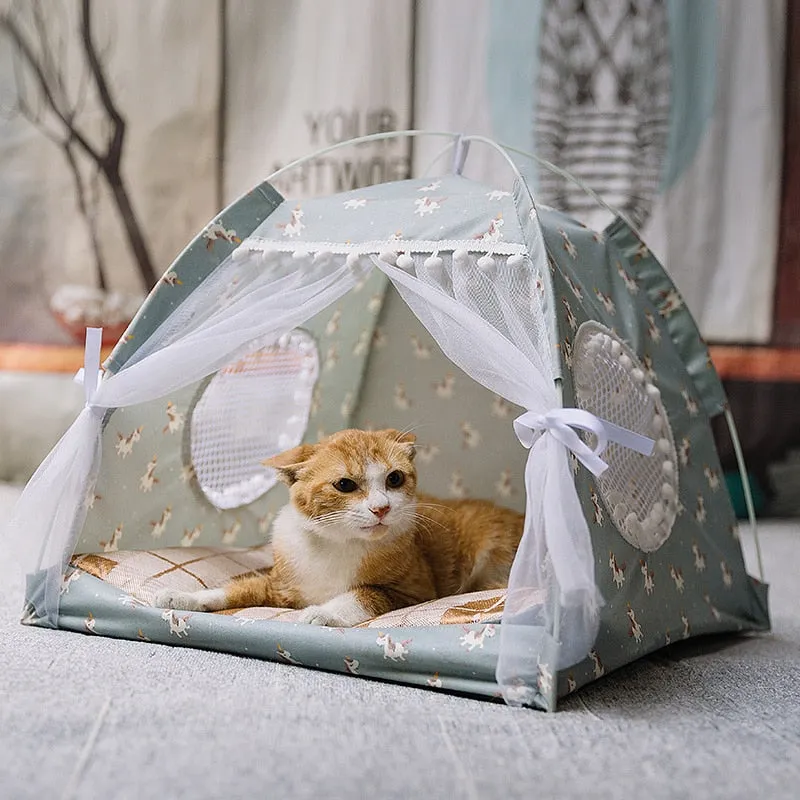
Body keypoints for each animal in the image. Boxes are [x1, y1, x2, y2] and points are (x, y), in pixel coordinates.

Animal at [154, 428, 524, 628]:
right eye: (345, 484)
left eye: (394, 479)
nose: (381, 508)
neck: (336, 544)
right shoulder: (279, 584)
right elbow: (236, 588)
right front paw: (183, 596)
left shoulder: (414, 591)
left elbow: (364, 593)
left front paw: (321, 613)